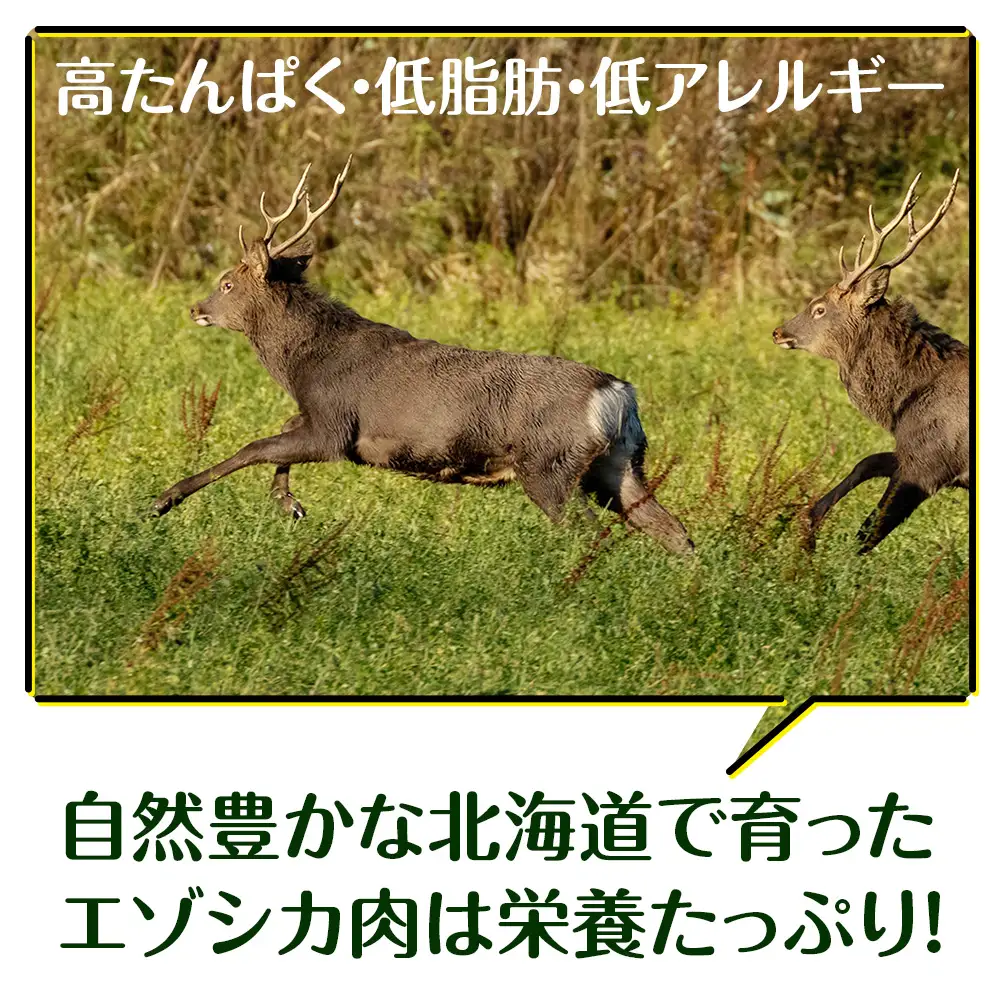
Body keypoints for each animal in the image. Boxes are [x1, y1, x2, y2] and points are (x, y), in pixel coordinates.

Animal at [152, 157, 695, 556]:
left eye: (227, 282)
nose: (196, 308)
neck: (304, 364)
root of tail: (618, 393)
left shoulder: (335, 426)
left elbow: (254, 447)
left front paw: (165, 500)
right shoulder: (320, 420)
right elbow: (277, 434)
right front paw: (289, 504)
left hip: (549, 464)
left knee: (592, 532)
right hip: (619, 463)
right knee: (674, 531)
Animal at [772, 170, 968, 553]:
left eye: (819, 308)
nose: (778, 332)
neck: (901, 404)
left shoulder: (930, 462)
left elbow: (868, 532)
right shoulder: (914, 453)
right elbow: (868, 462)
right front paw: (808, 524)